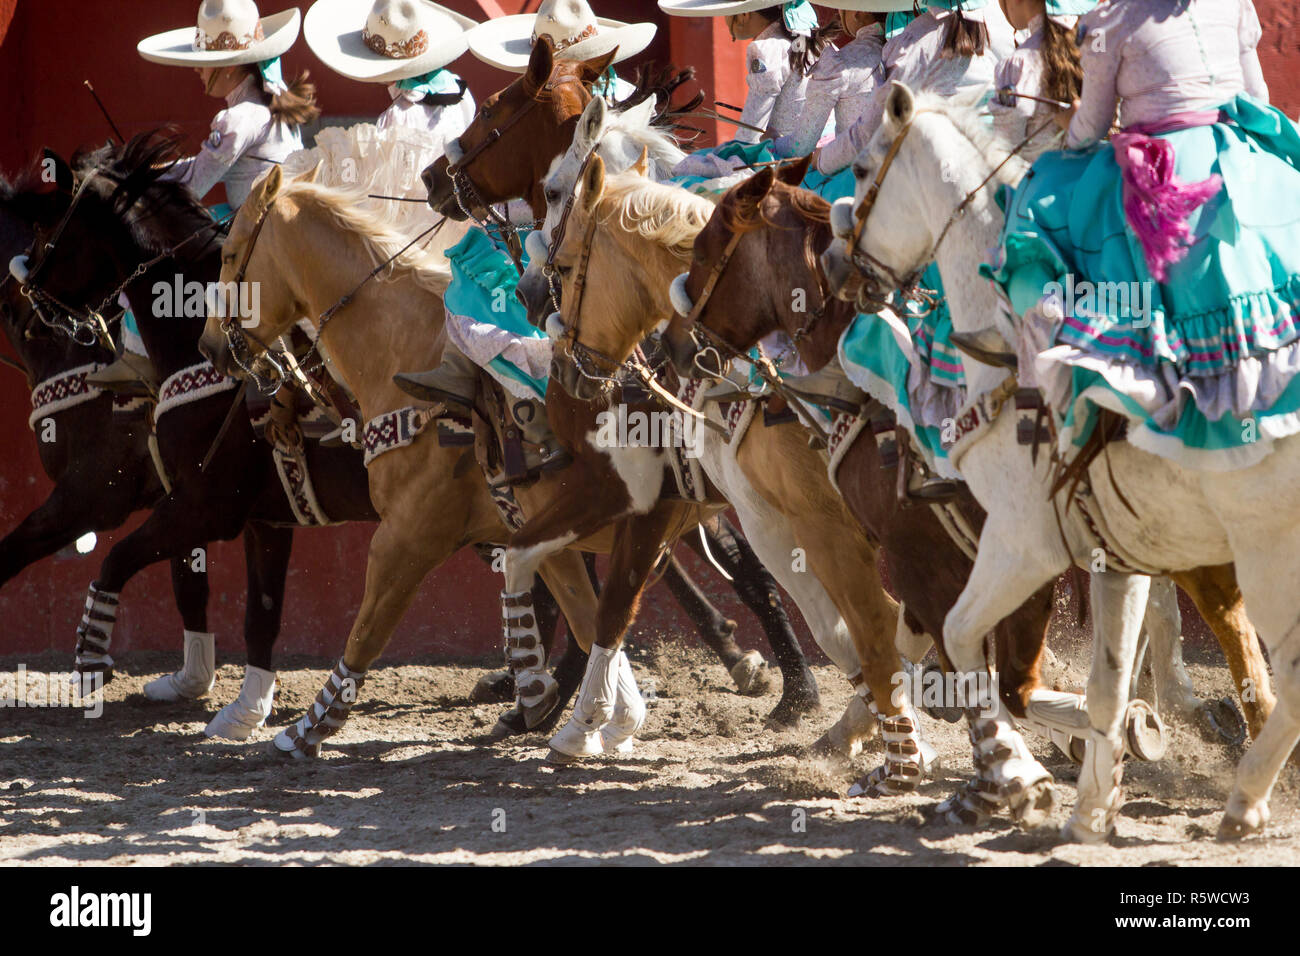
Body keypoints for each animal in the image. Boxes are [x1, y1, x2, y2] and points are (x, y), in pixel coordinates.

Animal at [660, 162, 1268, 816]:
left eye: (702, 248)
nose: (671, 346)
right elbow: (973, 668)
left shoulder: (891, 551)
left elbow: (904, 646)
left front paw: (947, 769)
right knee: (1240, 645)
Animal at [826, 83, 1294, 842]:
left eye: (865, 170)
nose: (838, 269)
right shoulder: (1115, 557)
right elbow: (1106, 684)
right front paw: (1091, 806)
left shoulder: (1021, 545)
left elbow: (962, 640)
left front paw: (1009, 782)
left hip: (1265, 549)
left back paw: (1242, 800)